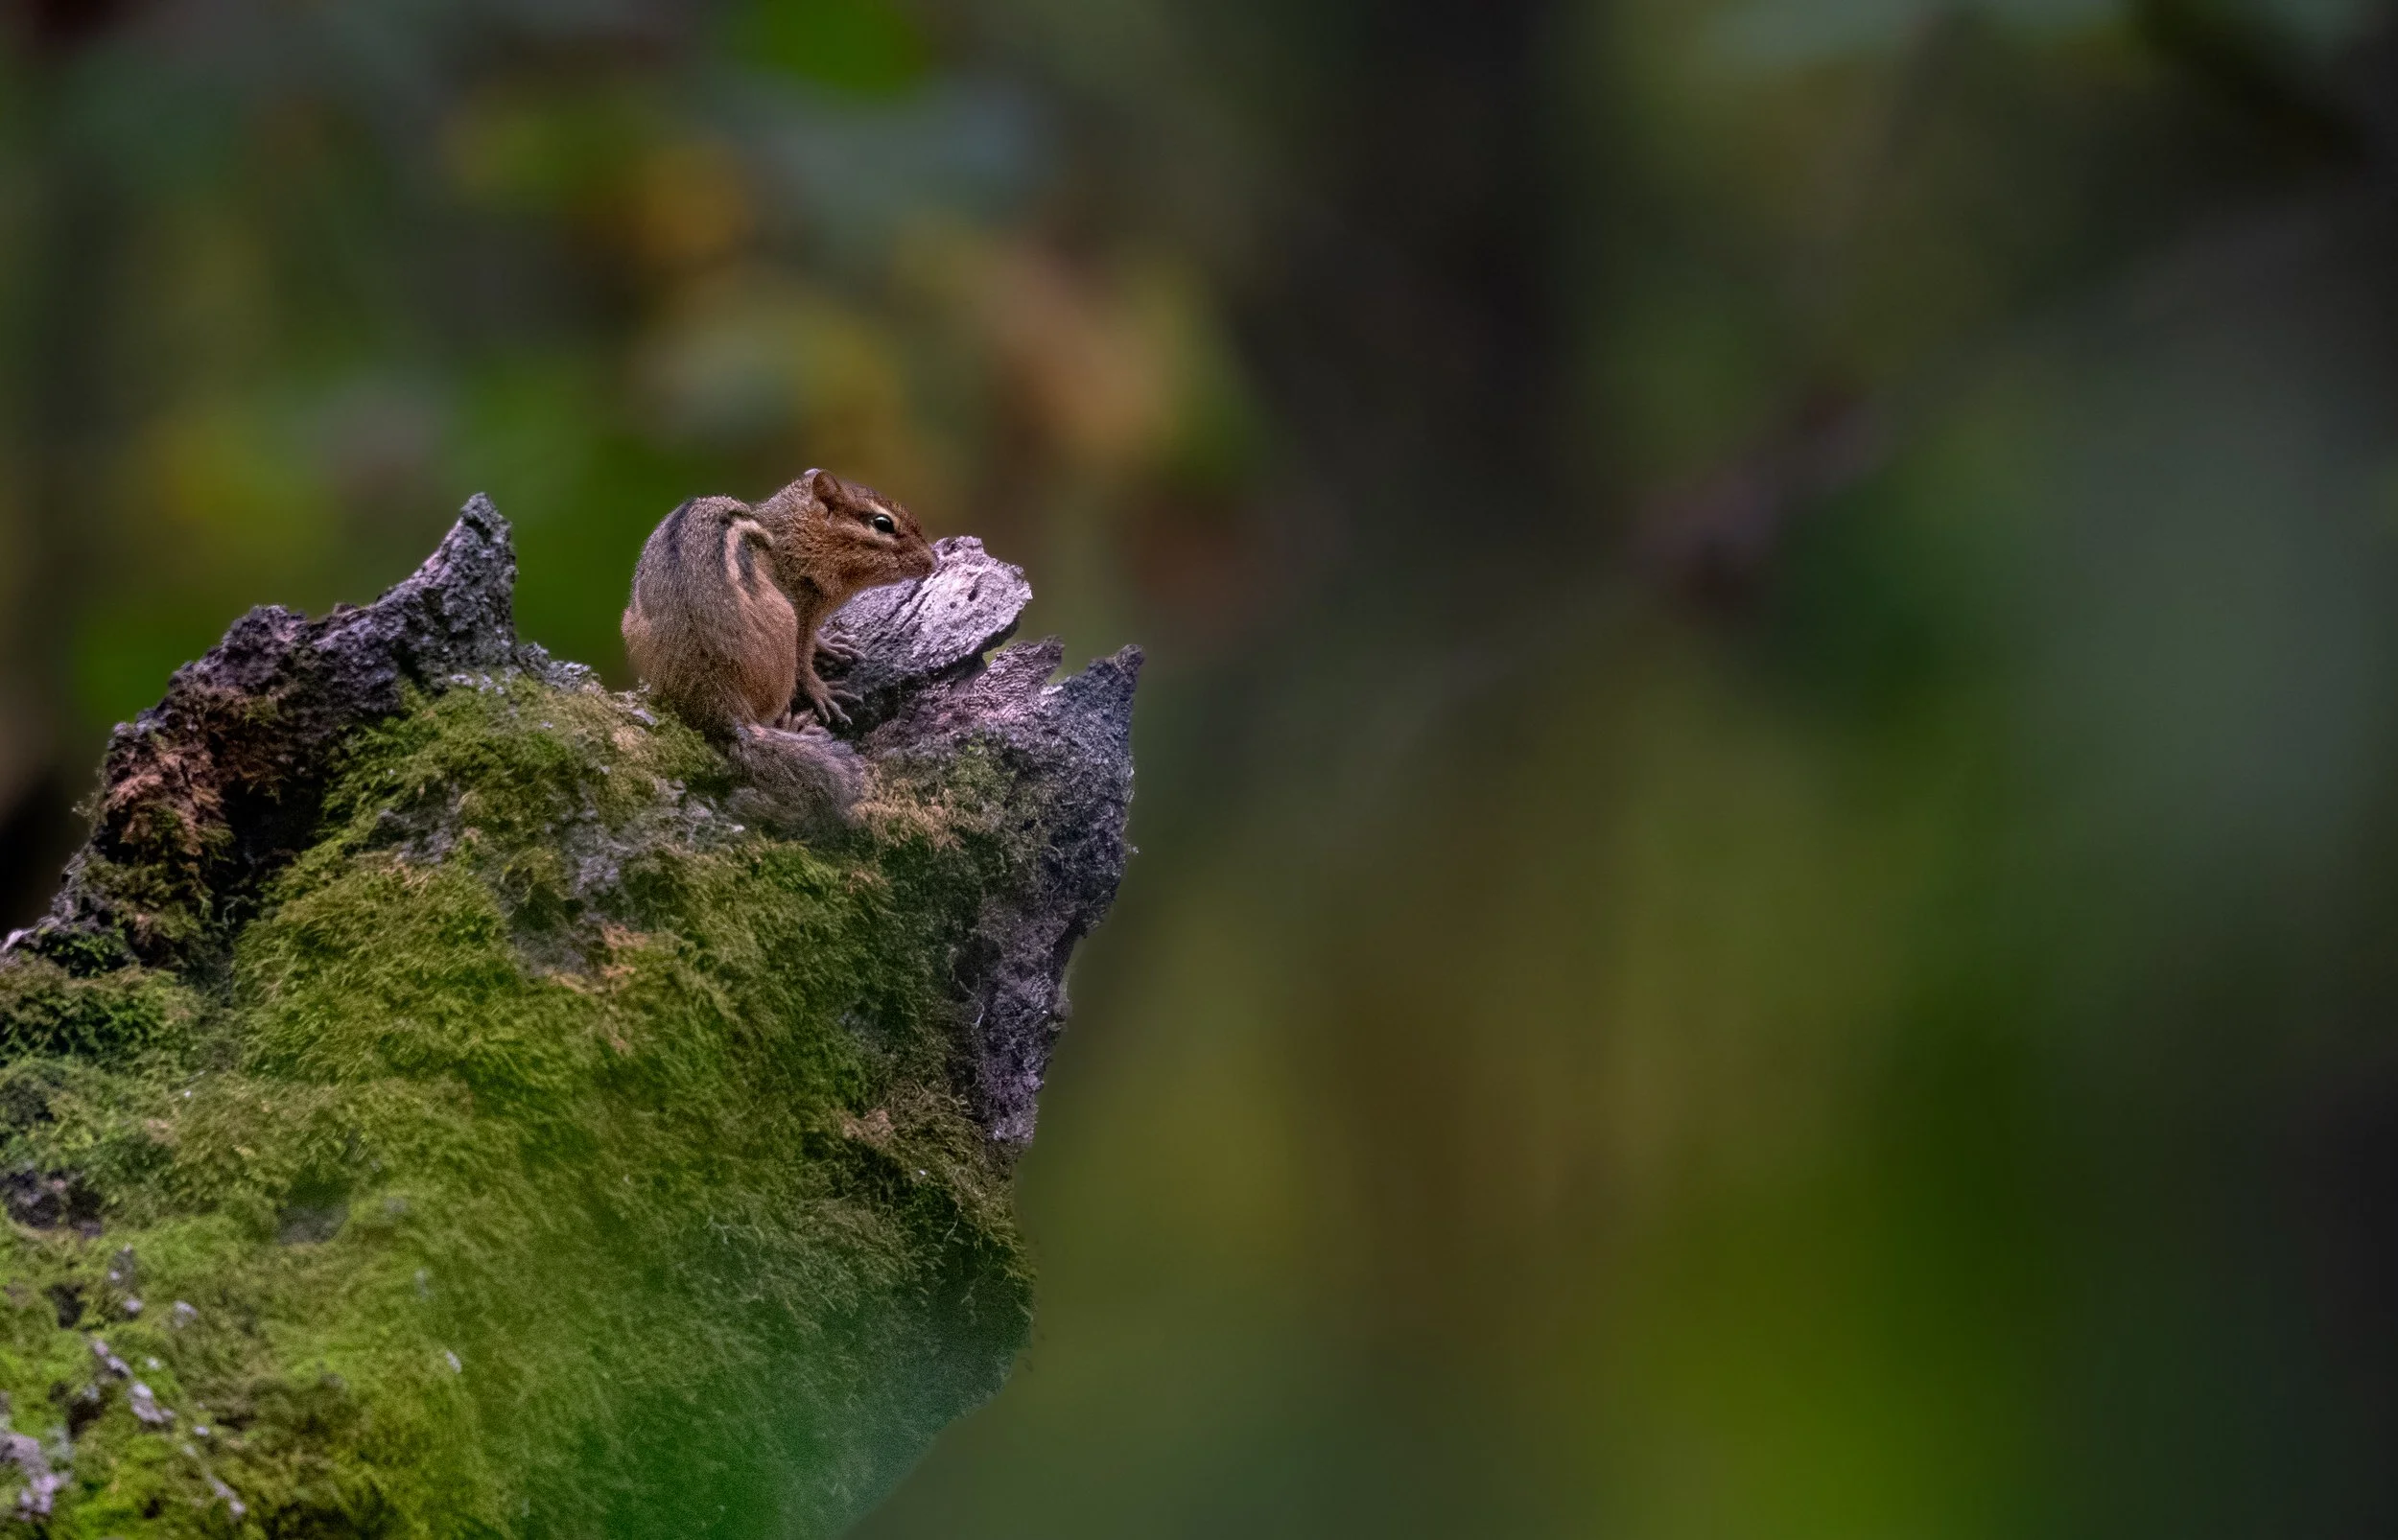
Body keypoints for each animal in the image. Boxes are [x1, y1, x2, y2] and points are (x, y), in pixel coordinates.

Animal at [621, 470, 937, 827]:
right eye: (883, 524)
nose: (932, 561)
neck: (792, 535)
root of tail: (722, 704)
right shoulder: (801, 611)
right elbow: (803, 662)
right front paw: (823, 692)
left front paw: (831, 644)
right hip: (783, 619)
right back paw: (791, 726)